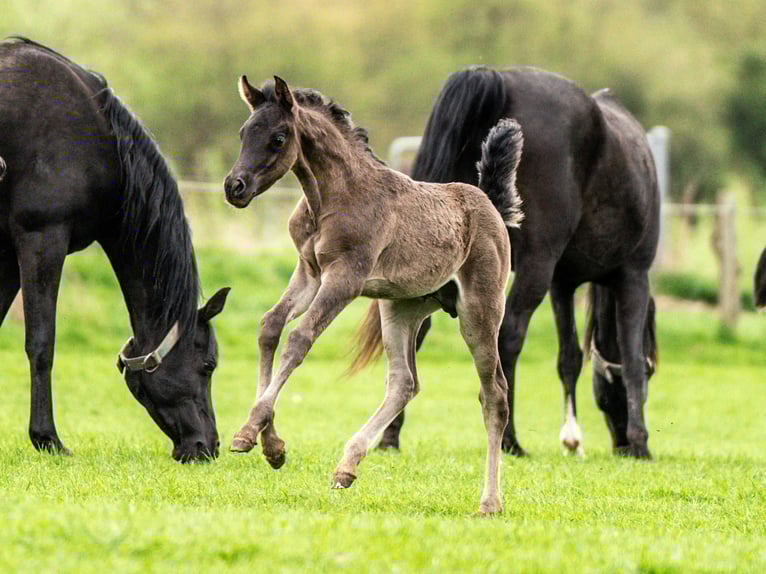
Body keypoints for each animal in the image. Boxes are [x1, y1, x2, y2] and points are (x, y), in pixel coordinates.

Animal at [0, 38, 230, 461]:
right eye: (207, 365)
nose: (208, 446)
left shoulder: (7, 252)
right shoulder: (42, 238)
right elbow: (41, 343)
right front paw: (47, 438)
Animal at [224, 75, 523, 514]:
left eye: (278, 138)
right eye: (244, 132)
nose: (235, 187)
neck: (332, 197)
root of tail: (492, 208)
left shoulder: (345, 278)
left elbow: (299, 339)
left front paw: (247, 431)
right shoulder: (309, 273)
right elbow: (270, 326)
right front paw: (272, 445)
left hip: (479, 312)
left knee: (495, 395)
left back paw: (490, 502)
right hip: (401, 308)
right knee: (404, 383)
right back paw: (346, 466)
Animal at [380, 66, 659, 459]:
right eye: (653, 372)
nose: (619, 442)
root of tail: (496, 77)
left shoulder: (563, 283)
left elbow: (569, 357)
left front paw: (573, 438)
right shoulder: (633, 275)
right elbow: (632, 359)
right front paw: (639, 442)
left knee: (416, 333)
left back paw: (390, 436)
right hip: (534, 267)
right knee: (506, 337)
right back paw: (509, 439)